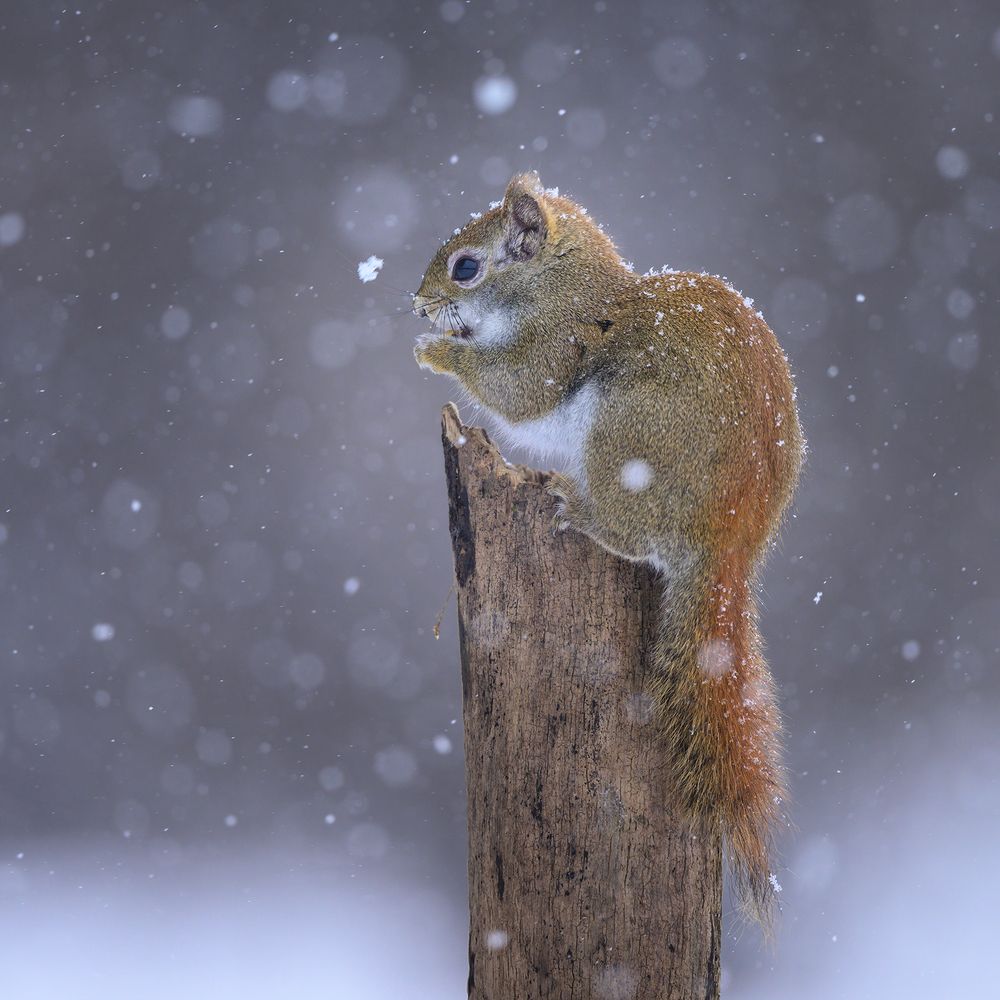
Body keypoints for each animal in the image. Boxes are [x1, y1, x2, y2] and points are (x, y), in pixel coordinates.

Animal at [412, 171, 804, 929]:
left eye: (465, 268)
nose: (415, 304)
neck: (566, 290)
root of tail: (729, 547)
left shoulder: (554, 351)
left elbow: (516, 390)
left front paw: (435, 352)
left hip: (627, 441)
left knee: (631, 535)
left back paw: (580, 509)